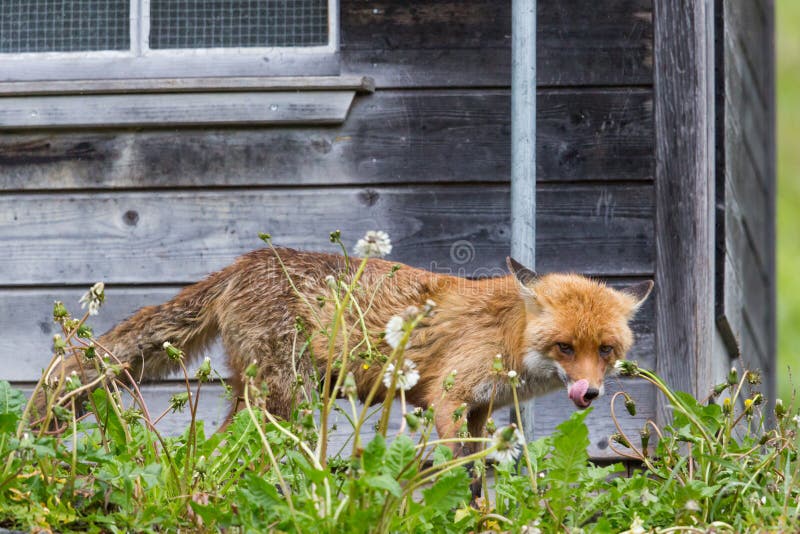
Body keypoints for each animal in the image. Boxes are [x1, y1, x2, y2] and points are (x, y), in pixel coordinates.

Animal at [51, 249, 648, 450]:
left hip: (256, 398)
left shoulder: (481, 410)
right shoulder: (447, 399)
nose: (590, 394)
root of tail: (244, 262)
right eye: (565, 346)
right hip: (282, 401)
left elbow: (481, 473)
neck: (506, 335)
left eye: (606, 350)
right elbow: (456, 471)